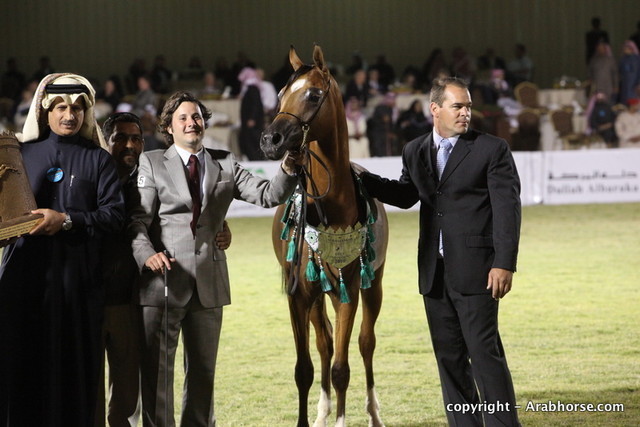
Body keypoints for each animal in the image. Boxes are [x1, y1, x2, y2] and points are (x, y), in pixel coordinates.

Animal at [260, 45, 388, 427]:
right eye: (282, 93)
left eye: (314, 94)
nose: (270, 140)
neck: (332, 205)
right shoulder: (299, 295)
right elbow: (305, 367)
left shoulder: (350, 290)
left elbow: (341, 369)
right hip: (320, 294)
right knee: (325, 343)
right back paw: (322, 412)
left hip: (371, 285)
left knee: (365, 343)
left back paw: (373, 412)